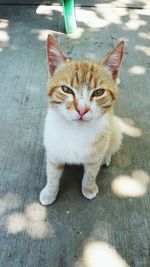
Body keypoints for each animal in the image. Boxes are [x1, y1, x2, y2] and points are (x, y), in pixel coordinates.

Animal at [39, 34, 124, 206]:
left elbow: (91, 173)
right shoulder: (53, 153)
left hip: (115, 130)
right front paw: (49, 192)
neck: (75, 132)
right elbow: (52, 175)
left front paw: (89, 188)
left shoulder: (94, 158)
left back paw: (107, 156)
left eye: (98, 92)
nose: (82, 109)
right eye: (66, 89)